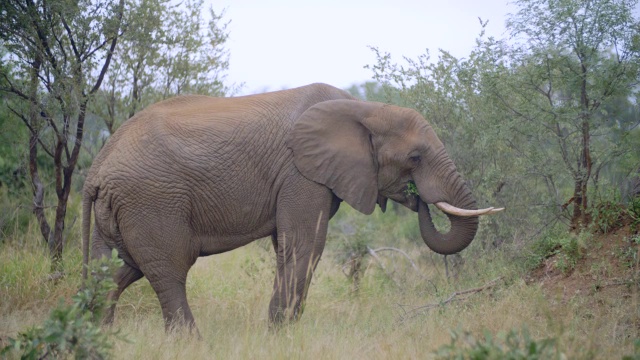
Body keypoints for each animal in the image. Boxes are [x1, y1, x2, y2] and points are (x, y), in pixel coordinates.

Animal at [81, 81, 500, 332]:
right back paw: (190, 342)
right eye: (415, 157)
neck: (361, 107)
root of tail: (96, 169)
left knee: (116, 271)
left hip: (122, 208)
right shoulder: (301, 173)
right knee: (169, 270)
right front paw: (279, 333)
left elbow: (291, 245)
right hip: (151, 200)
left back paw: (101, 336)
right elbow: (304, 244)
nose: (416, 196)